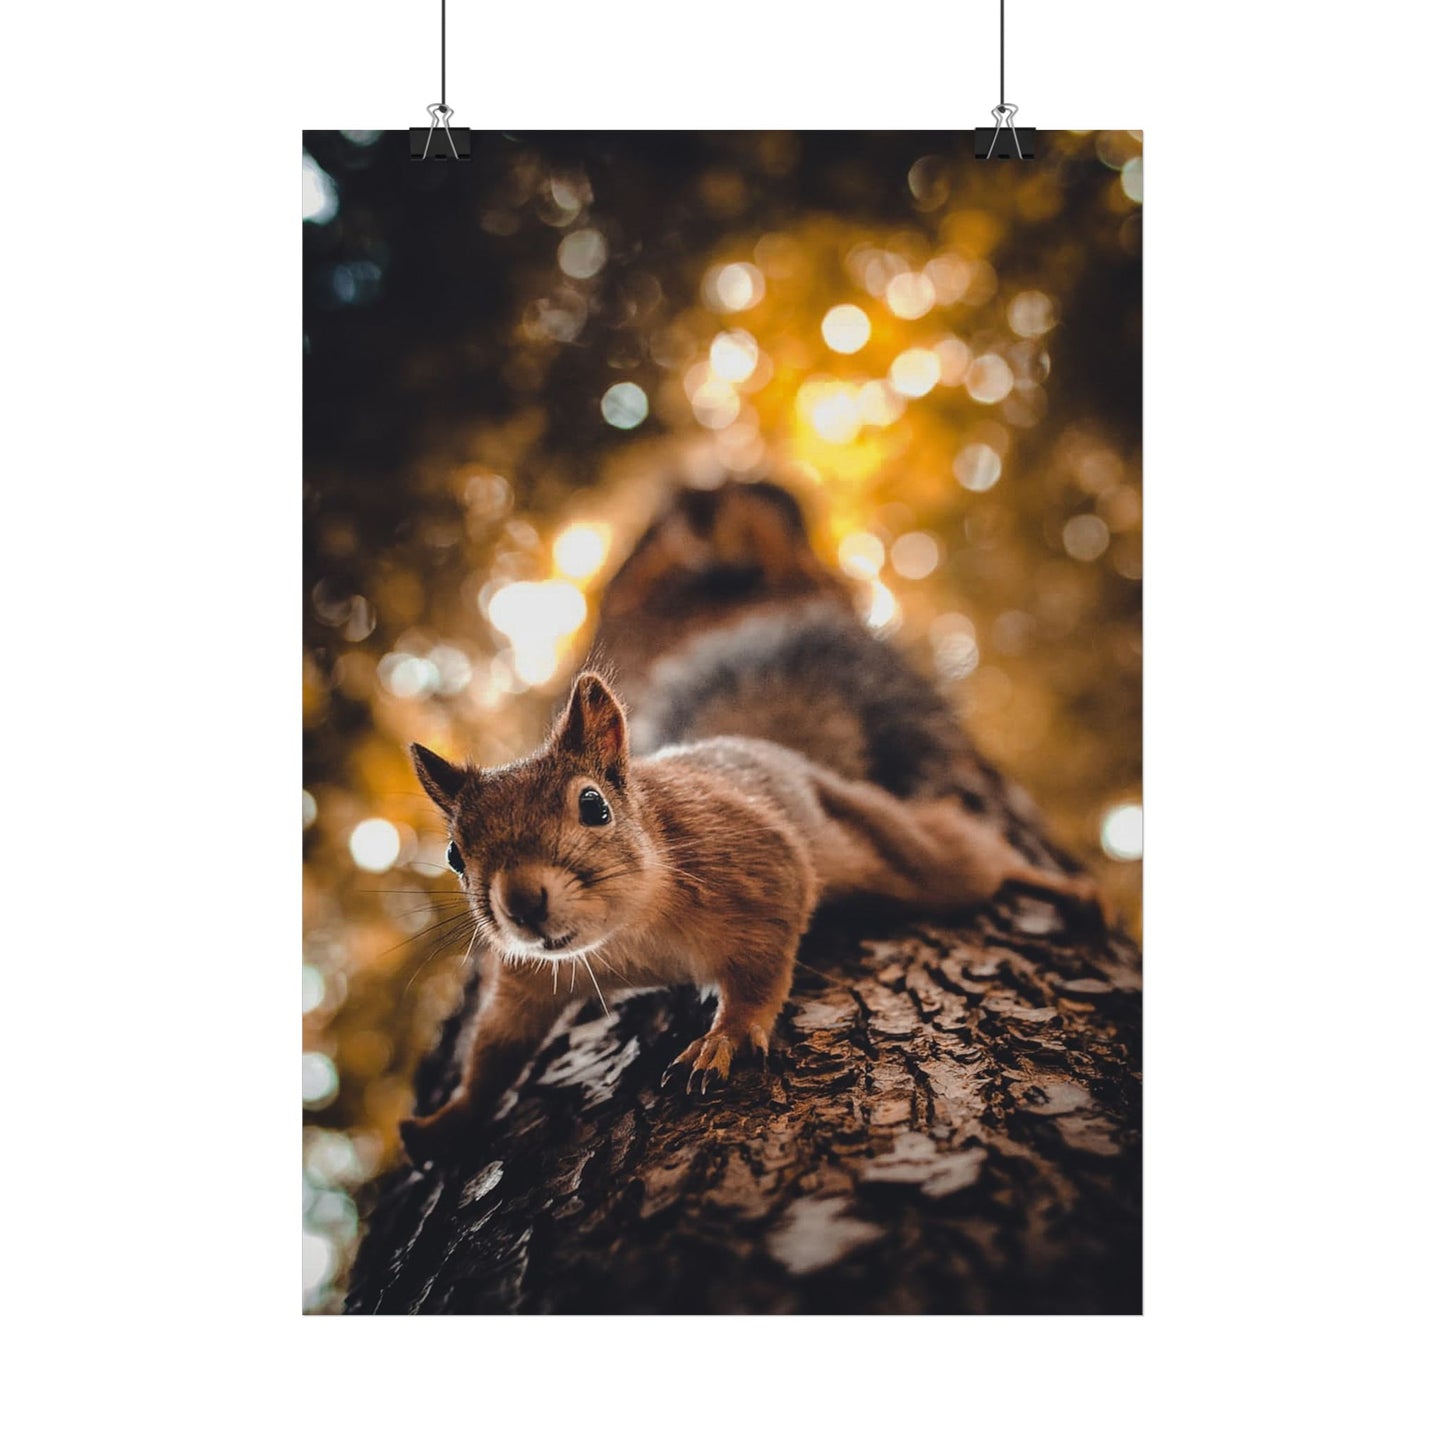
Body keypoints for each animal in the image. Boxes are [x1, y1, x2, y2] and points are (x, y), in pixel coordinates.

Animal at [400, 482, 1097, 1164]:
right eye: (455, 855)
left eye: (593, 806)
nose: (522, 904)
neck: (626, 934)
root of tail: (795, 757)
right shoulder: (530, 978)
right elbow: (495, 1048)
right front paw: (446, 1120)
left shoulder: (759, 868)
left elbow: (760, 970)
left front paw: (726, 1037)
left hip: (909, 854)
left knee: (972, 856)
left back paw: (1057, 886)